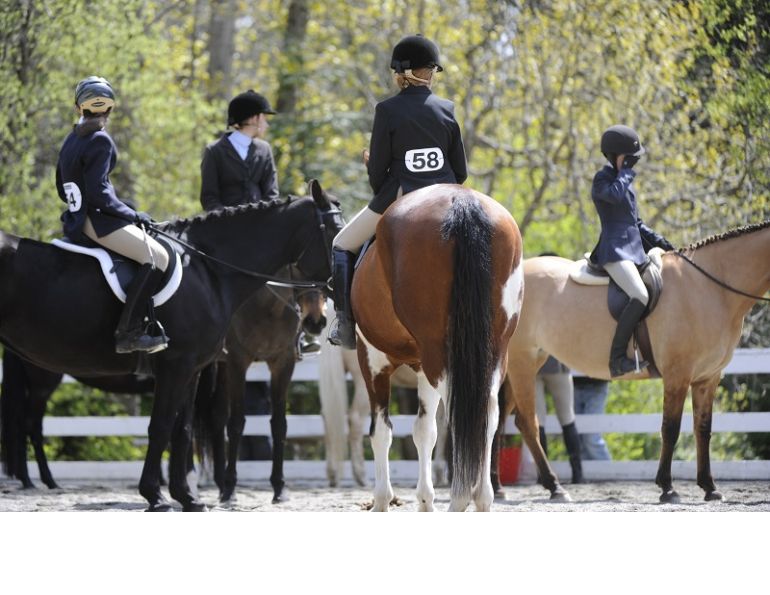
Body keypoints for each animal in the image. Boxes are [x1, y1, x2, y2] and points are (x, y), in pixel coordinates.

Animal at [0, 180, 343, 511]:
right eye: (334, 232)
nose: (316, 321)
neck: (210, 272)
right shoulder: (184, 365)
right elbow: (164, 426)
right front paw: (157, 496)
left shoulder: (195, 369)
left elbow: (183, 430)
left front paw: (187, 497)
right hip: (44, 377)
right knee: (31, 423)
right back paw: (44, 481)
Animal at [351, 184, 523, 512]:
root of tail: (462, 202)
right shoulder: (422, 366)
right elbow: (424, 431)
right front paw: (424, 502)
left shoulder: (372, 360)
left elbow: (381, 432)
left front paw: (382, 501)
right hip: (492, 354)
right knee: (487, 414)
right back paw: (481, 499)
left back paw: (459, 500)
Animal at [496, 220, 770, 503]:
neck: (710, 288)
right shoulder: (678, 375)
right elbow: (670, 429)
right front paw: (667, 488)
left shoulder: (708, 378)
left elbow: (703, 429)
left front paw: (710, 487)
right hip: (521, 363)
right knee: (527, 423)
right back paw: (554, 487)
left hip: (524, 365)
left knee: (502, 419)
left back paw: (499, 489)